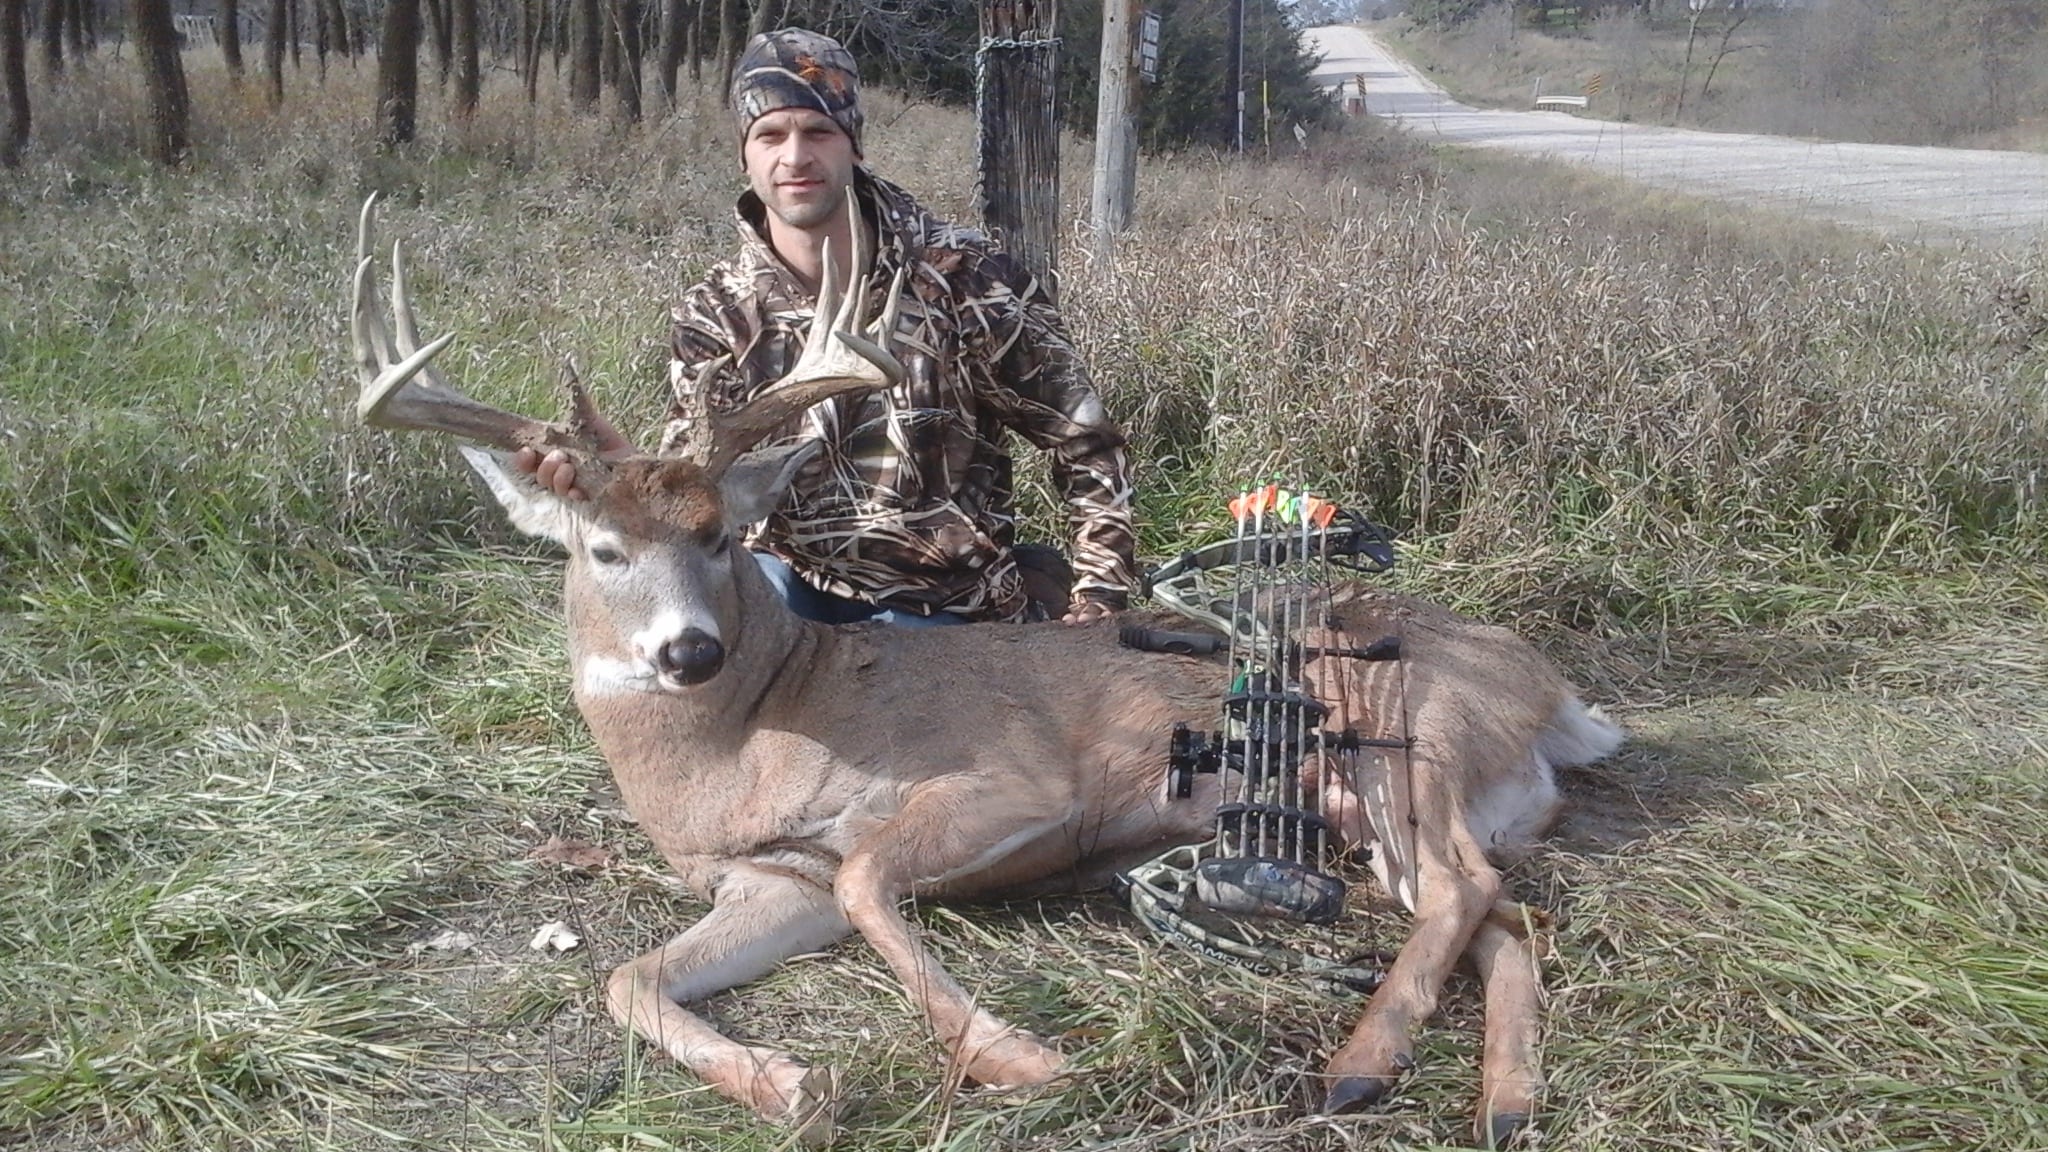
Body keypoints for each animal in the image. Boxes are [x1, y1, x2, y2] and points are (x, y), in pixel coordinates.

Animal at [348, 195, 1624, 1149]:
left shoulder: (1006, 783)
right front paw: (792, 1087)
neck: (744, 740)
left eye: (717, 534)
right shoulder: (775, 880)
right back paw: (1500, 1102)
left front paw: (1016, 1055)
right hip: (1372, 810)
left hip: (1405, 741)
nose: (689, 650)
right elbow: (628, 979)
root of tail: (1552, 692)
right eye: (601, 549)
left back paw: (1353, 1070)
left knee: (1463, 888)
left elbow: (872, 875)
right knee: (1504, 918)